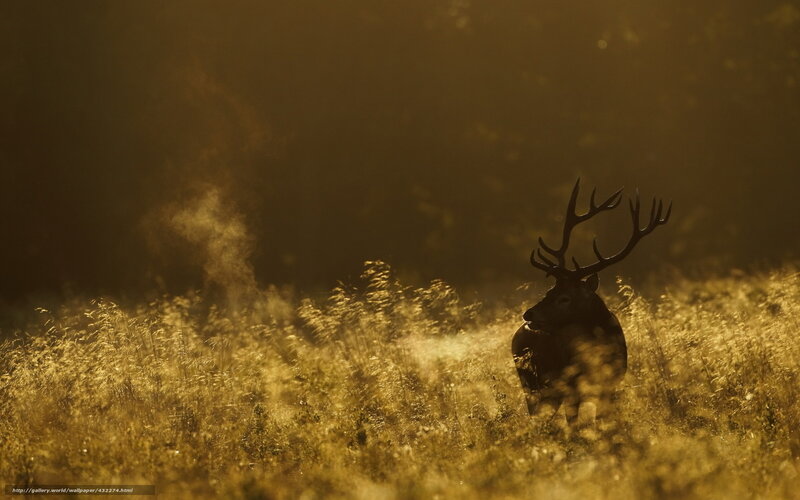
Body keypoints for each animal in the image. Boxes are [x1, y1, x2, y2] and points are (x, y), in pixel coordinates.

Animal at [512, 178, 671, 428]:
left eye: (564, 297)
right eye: (549, 290)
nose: (528, 314)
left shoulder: (611, 384)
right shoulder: (571, 388)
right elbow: (575, 426)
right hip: (532, 384)